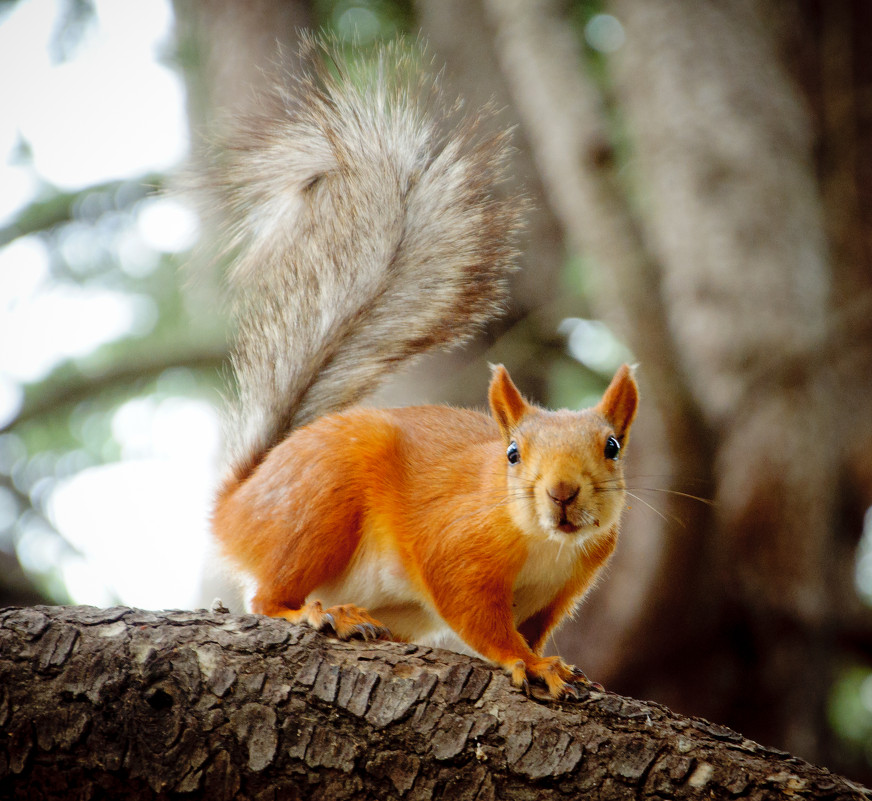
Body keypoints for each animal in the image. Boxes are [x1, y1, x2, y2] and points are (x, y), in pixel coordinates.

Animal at [208, 40, 636, 696]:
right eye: (513, 453)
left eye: (612, 446)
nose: (562, 491)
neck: (544, 543)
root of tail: (238, 504)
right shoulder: (454, 545)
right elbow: (479, 618)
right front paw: (527, 662)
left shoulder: (565, 587)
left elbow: (535, 628)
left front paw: (553, 660)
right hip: (317, 507)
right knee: (266, 597)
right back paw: (320, 612)